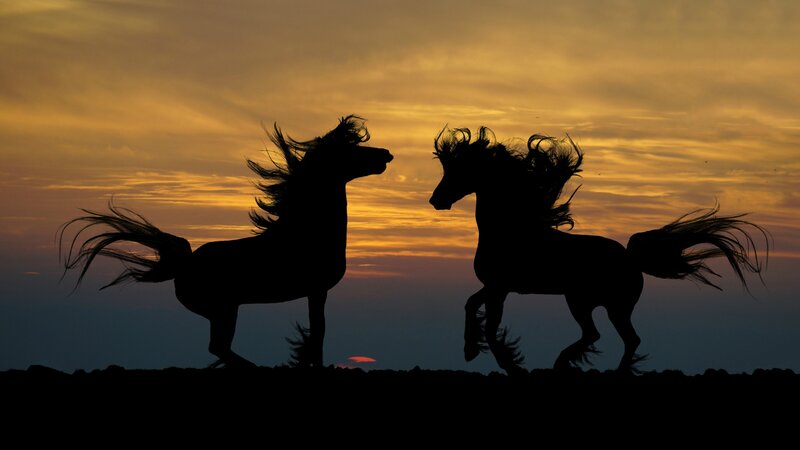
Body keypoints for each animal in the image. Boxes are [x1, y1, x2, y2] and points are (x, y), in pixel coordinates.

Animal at [59, 115, 393, 368]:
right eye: (351, 150)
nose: (386, 154)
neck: (306, 231)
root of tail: (184, 263)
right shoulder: (317, 290)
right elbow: (318, 334)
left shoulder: (316, 292)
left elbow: (316, 334)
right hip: (225, 309)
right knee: (218, 347)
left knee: (218, 348)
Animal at [429, 126, 769, 374]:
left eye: (460, 169)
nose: (436, 200)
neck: (510, 230)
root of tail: (630, 259)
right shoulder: (495, 287)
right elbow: (472, 307)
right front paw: (471, 350)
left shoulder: (500, 287)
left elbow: (488, 324)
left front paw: (504, 362)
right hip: (606, 306)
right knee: (623, 338)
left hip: (584, 301)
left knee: (602, 335)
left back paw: (567, 365)